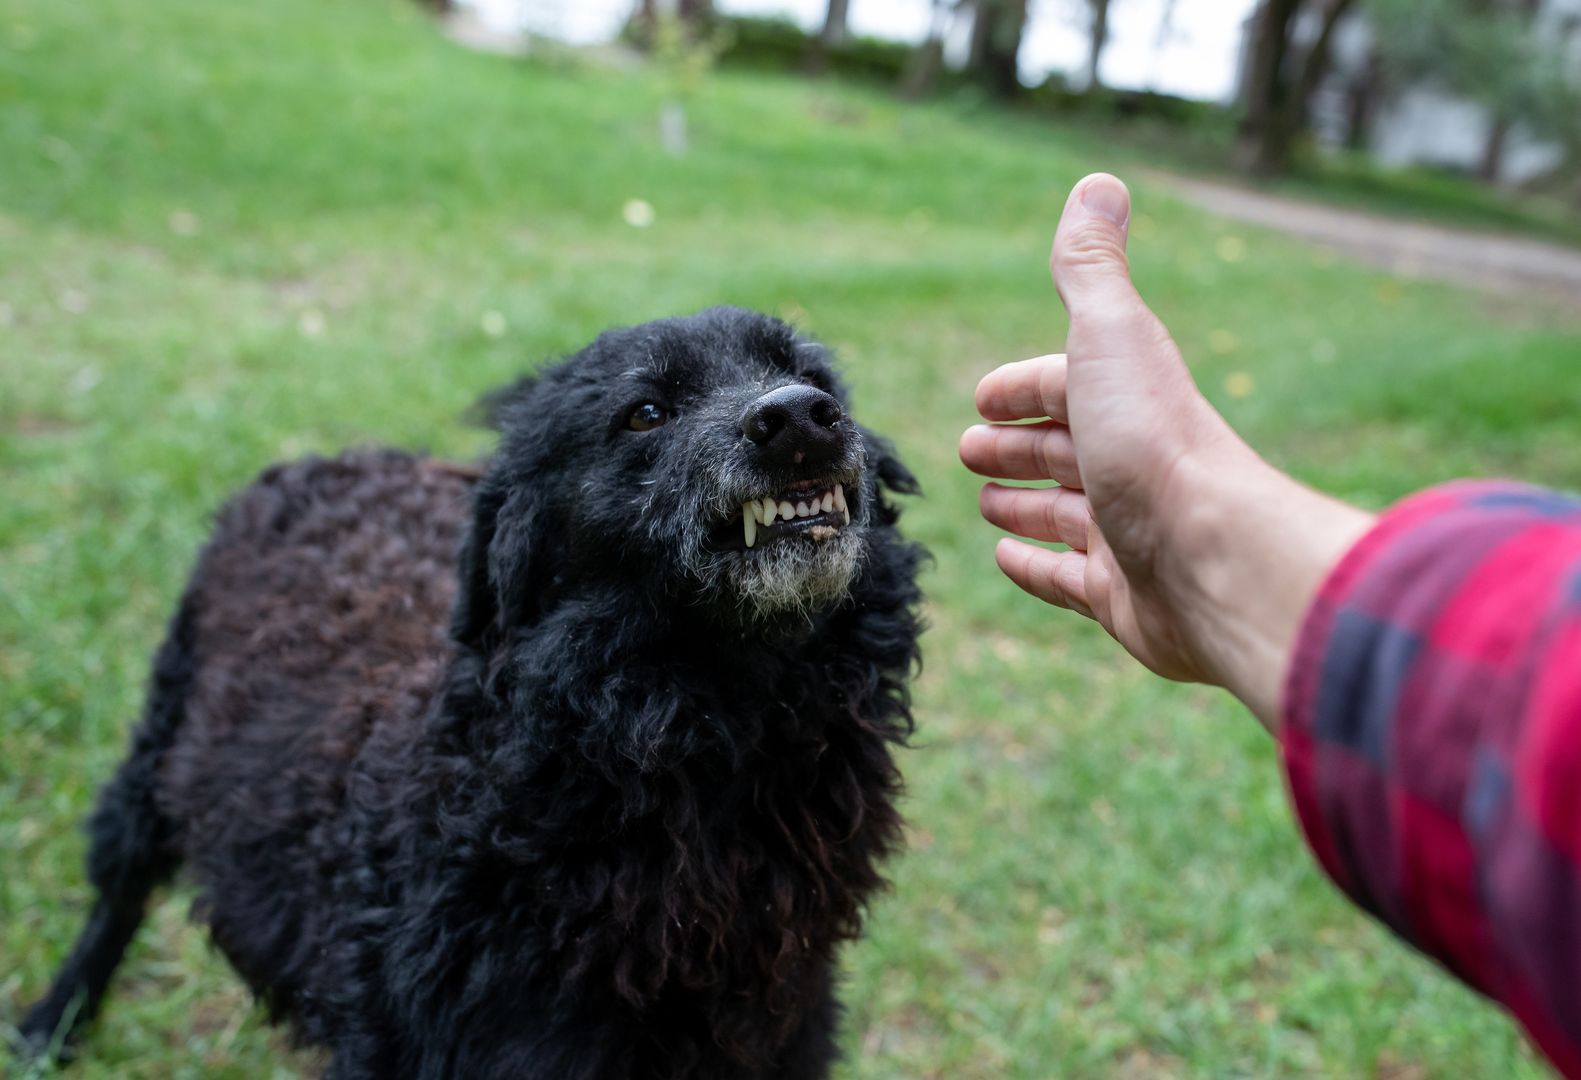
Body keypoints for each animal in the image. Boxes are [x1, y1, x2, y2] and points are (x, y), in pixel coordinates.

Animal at [18, 306, 923, 1080]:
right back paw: (50, 1024)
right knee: (118, 891)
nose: (799, 419)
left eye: (810, 376)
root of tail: (336, 456)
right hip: (159, 739)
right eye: (644, 412)